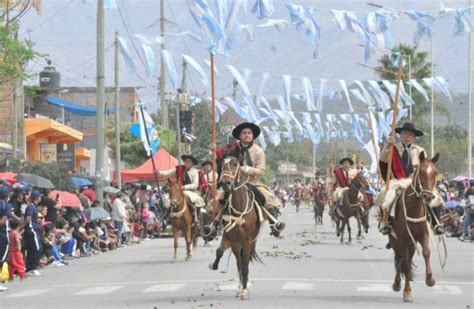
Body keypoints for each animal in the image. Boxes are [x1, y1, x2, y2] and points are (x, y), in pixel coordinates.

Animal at [208, 156, 262, 298]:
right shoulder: (229, 239)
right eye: (222, 165)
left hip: (249, 244)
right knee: (239, 263)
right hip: (237, 246)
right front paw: (213, 265)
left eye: (235, 164)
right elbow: (219, 252)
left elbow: (245, 267)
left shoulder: (247, 242)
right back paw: (239, 287)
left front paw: (245, 291)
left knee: (244, 263)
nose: (225, 183)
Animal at [388, 152, 440, 300]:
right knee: (399, 259)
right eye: (421, 172)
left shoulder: (422, 234)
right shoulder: (403, 239)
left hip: (411, 244)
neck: (414, 208)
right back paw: (397, 284)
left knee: (404, 259)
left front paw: (430, 279)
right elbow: (405, 265)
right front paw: (407, 291)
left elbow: (426, 252)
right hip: (396, 242)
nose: (428, 196)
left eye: (435, 172)